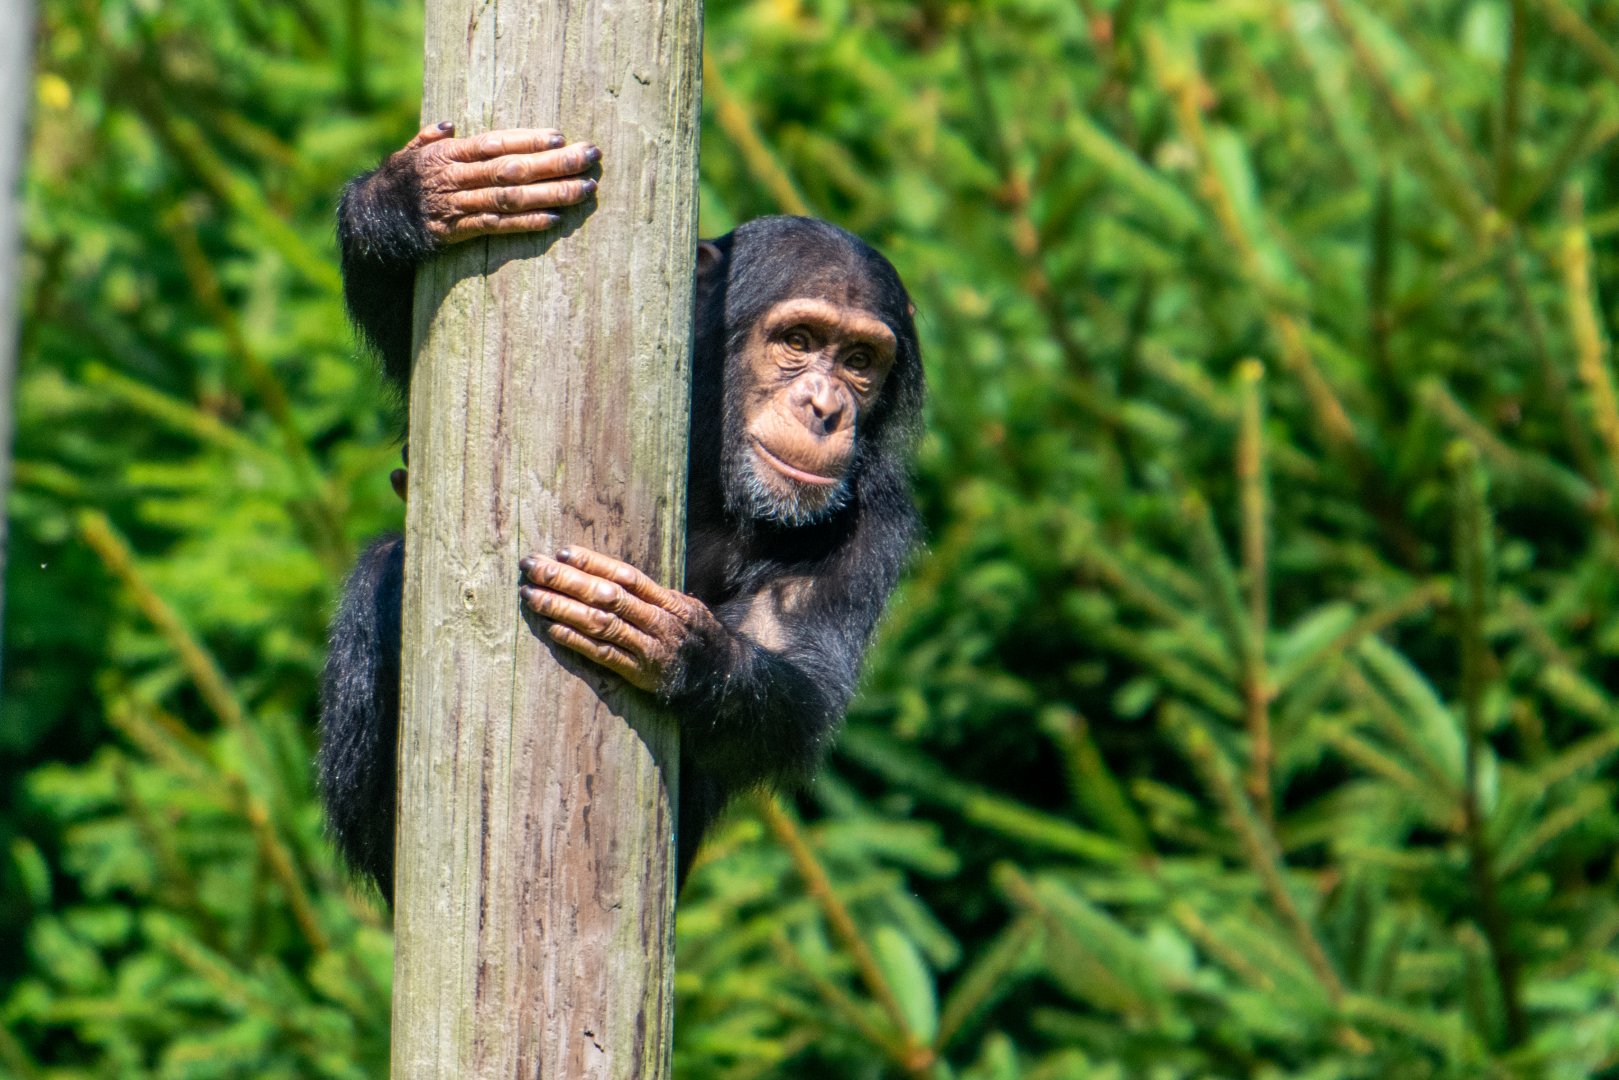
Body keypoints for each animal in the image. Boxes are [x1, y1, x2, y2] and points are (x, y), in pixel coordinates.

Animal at [319, 122, 924, 899]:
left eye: (858, 360)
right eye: (798, 341)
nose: (824, 406)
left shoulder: (875, 524)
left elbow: (800, 678)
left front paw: (675, 643)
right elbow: (415, 357)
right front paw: (420, 190)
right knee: (386, 567)